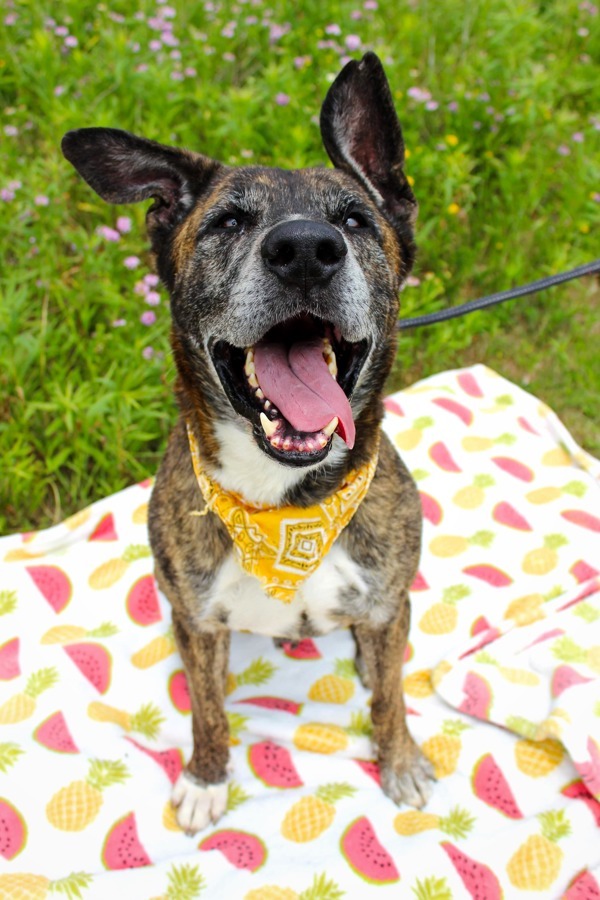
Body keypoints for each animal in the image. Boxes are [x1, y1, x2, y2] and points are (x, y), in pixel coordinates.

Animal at [63, 52, 434, 832]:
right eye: (227, 222)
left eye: (354, 220)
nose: (306, 251)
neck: (287, 503)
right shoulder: (199, 619)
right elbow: (206, 708)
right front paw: (207, 778)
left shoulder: (389, 600)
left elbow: (390, 695)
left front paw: (399, 759)